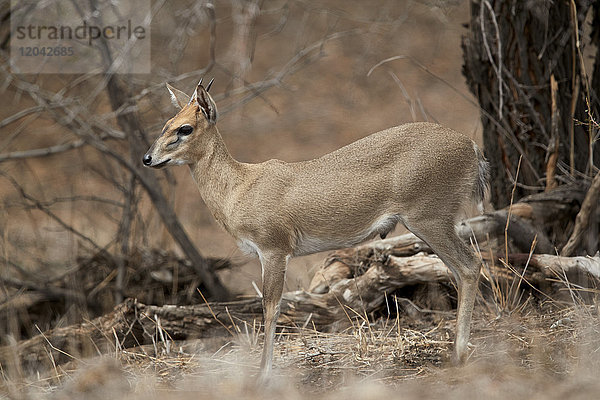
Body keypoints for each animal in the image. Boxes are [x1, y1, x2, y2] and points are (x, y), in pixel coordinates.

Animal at [144, 78, 488, 378]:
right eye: (167, 123)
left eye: (185, 128)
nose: (148, 158)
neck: (238, 189)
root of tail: (473, 148)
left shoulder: (274, 248)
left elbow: (271, 307)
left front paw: (263, 373)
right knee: (456, 270)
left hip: (429, 217)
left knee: (471, 265)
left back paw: (459, 355)